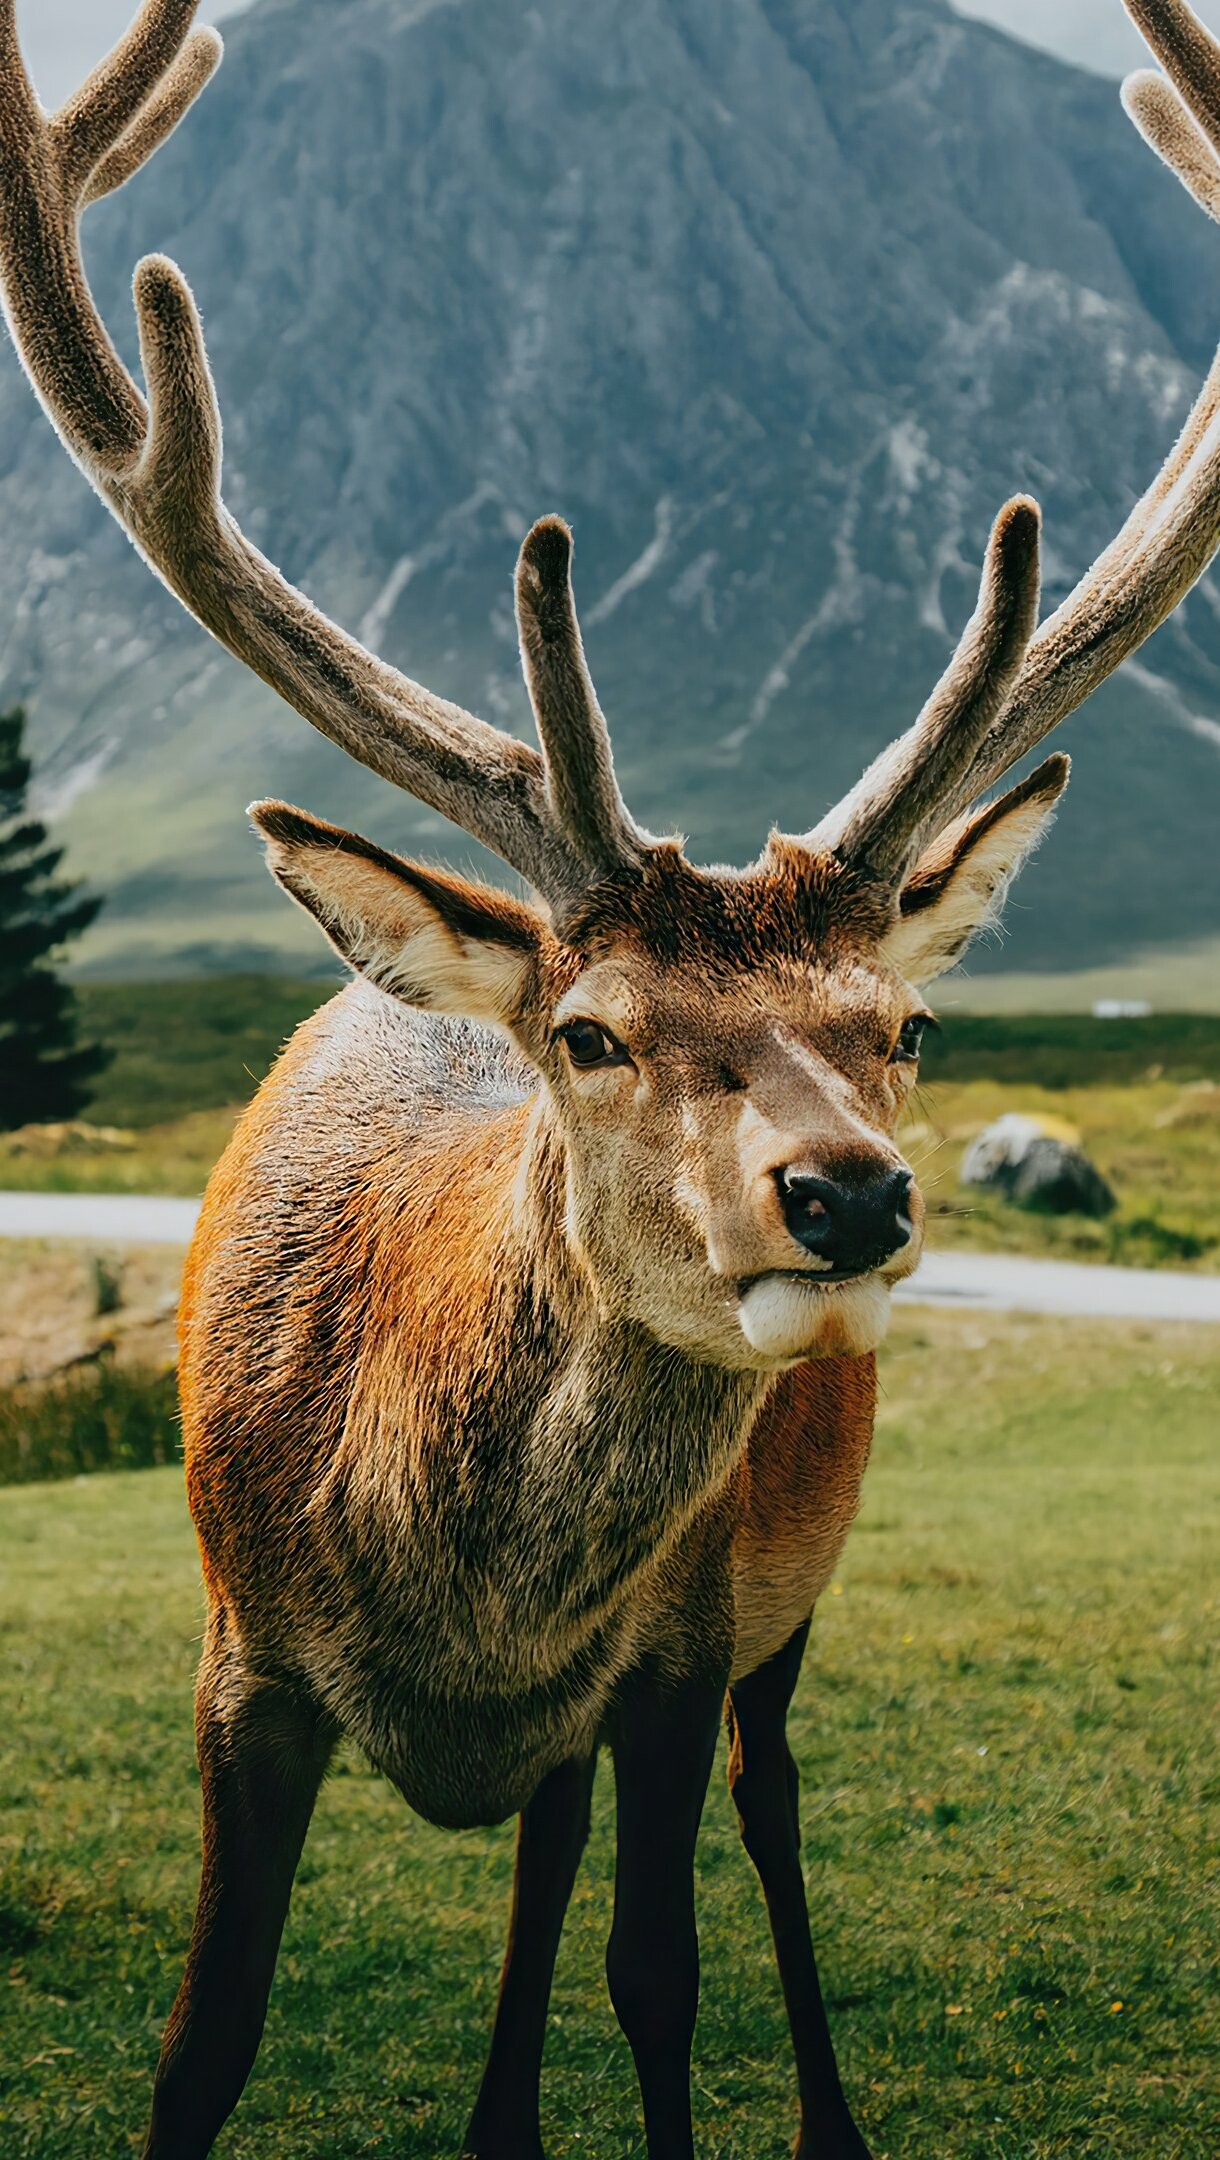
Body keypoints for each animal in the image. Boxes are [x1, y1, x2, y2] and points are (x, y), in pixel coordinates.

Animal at [4, 0, 1209, 2151]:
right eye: (587, 1033)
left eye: (905, 1030)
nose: (850, 1192)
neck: (458, 1624)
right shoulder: (239, 1660)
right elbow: (206, 2034)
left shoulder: (673, 1639)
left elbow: (659, 1975)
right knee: (544, 1859)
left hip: (783, 1604)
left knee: (760, 1801)